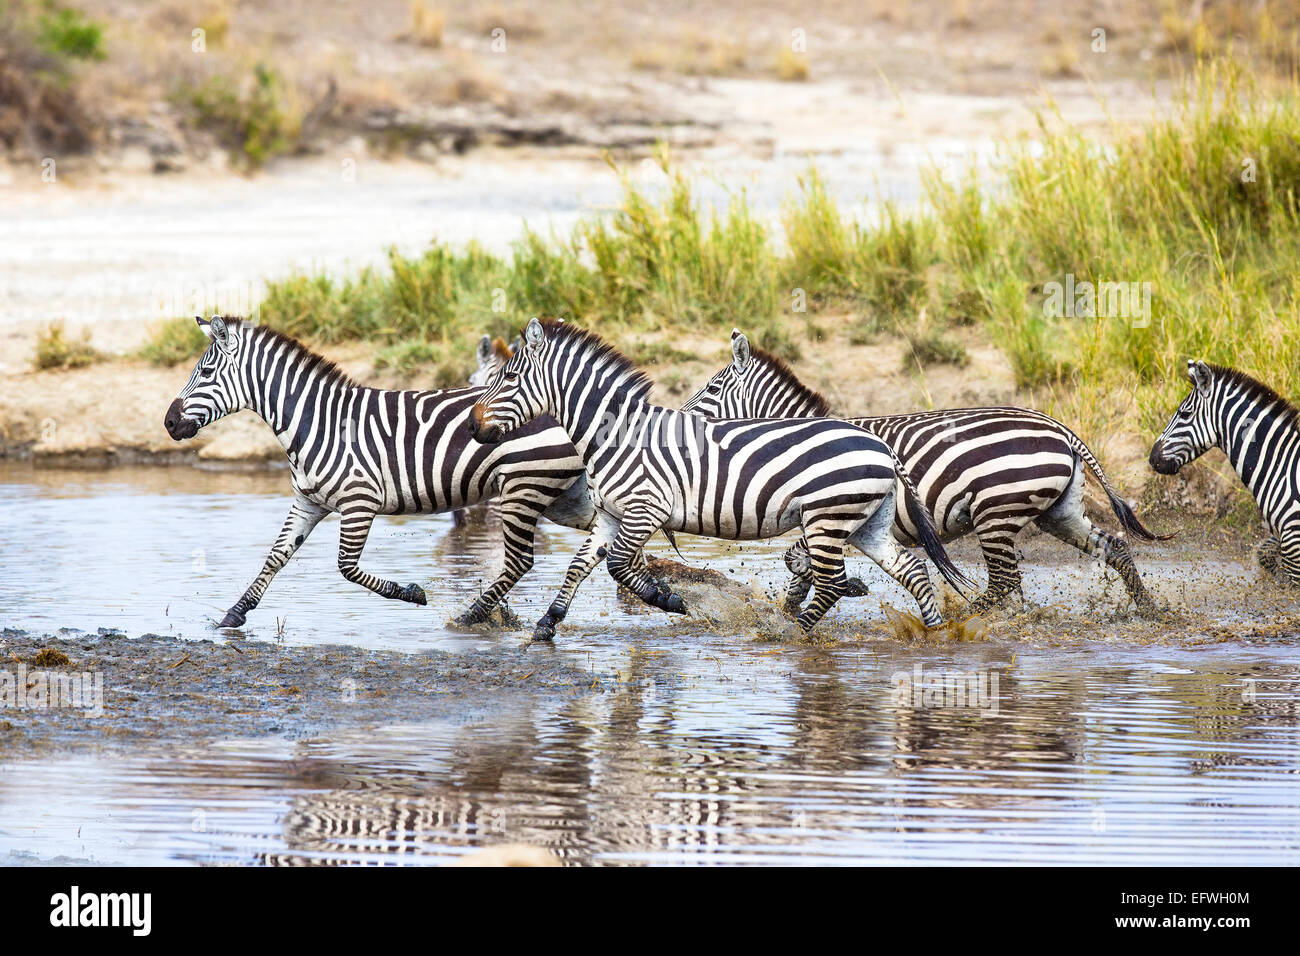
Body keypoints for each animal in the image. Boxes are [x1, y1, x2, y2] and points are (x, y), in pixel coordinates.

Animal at [159, 314, 595, 629]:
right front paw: (234, 614)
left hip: (525, 486)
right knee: (601, 543)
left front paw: (413, 592)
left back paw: (473, 615)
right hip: (566, 494)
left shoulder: (359, 502)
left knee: (522, 561)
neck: (318, 422)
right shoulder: (309, 501)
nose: (169, 423)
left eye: (206, 373)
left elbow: (346, 567)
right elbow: (276, 556)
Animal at [470, 317, 977, 639]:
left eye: (508, 379)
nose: (474, 428)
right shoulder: (611, 516)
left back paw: (790, 634)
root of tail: (882, 446)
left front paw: (668, 600)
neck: (617, 434)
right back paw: (936, 633)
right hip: (865, 522)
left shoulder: (644, 510)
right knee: (912, 569)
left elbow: (617, 566)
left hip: (827, 519)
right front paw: (547, 625)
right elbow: (579, 566)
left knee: (833, 582)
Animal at [681, 329, 1170, 613]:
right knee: (1114, 548)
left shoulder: (830, 512)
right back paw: (1150, 610)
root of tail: (1061, 428)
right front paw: (795, 603)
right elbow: (799, 564)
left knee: (1005, 578)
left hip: (996, 512)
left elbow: (797, 558)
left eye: (709, 391)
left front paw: (836, 590)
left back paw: (973, 615)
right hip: (1058, 512)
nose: (679, 419)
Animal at [1159, 358, 1300, 582]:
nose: (1152, 458)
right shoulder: (1283, 537)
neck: (1282, 466)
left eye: (1185, 414)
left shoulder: (1293, 541)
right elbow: (1264, 554)